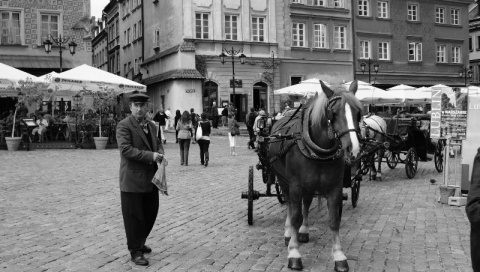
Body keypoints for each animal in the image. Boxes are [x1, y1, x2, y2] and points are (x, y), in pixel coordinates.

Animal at [268, 81, 362, 272]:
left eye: (358, 113)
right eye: (333, 113)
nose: (354, 150)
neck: (318, 151)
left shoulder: (334, 188)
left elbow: (334, 220)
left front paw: (339, 256)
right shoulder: (295, 185)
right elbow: (295, 217)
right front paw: (294, 253)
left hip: (309, 185)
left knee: (306, 202)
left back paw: (304, 231)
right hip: (283, 181)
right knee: (290, 205)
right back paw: (288, 233)